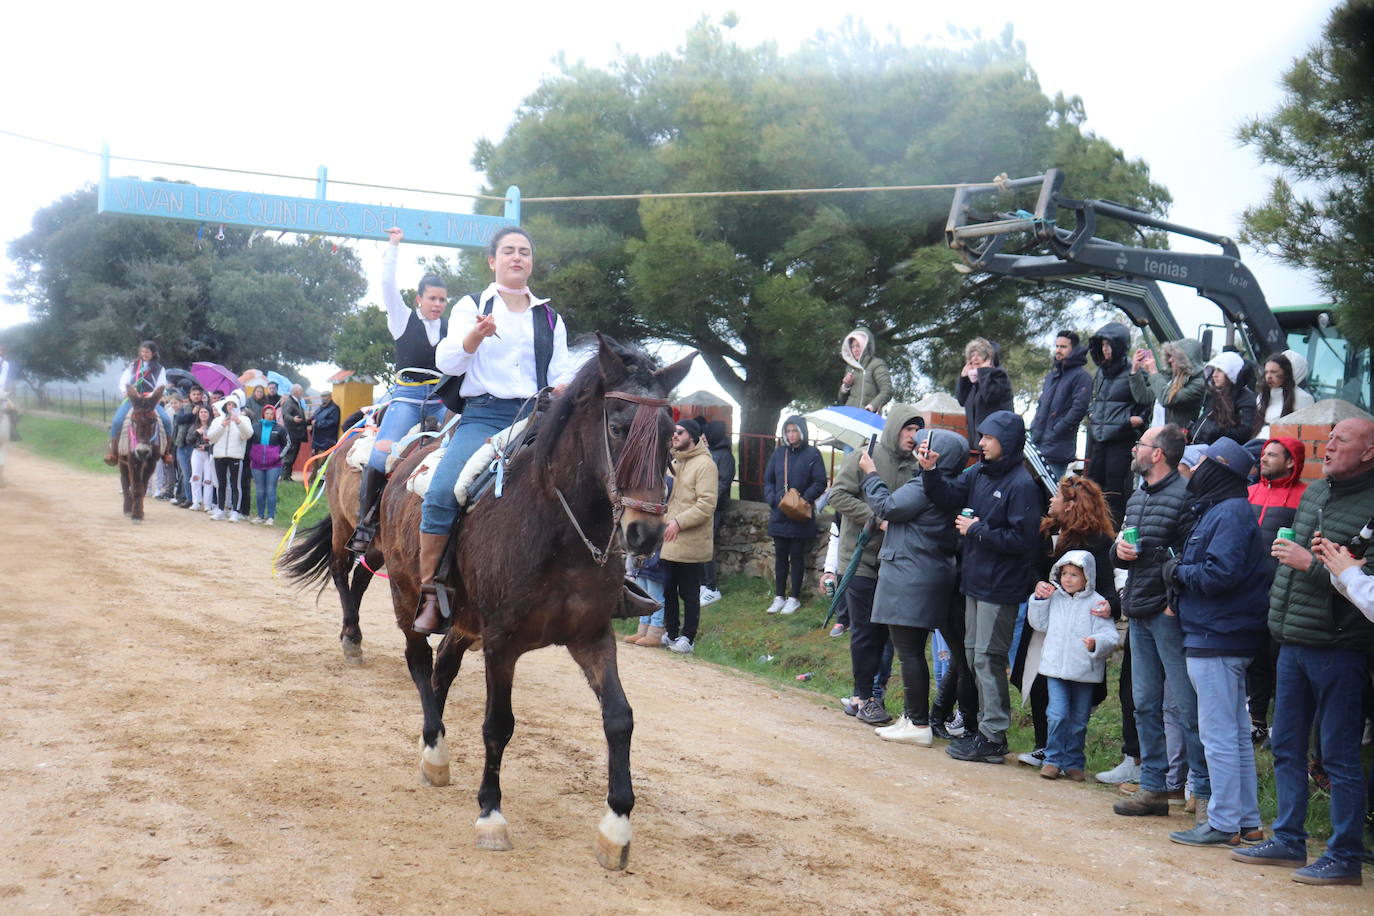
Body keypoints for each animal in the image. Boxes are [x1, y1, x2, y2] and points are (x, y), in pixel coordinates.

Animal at [118, 384, 166, 519]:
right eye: (134, 420)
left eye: (153, 420)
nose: (142, 451)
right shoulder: (132, 459)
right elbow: (135, 486)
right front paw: (135, 514)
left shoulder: (151, 462)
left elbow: (142, 487)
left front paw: (139, 511)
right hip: (122, 460)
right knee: (125, 480)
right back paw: (127, 507)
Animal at [285, 336, 692, 867]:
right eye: (619, 427)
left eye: (669, 435)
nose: (646, 533)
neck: (557, 530)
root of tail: (401, 466)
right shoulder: (502, 642)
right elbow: (499, 724)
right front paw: (491, 815)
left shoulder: (592, 637)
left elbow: (619, 719)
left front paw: (617, 826)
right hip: (399, 586)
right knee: (411, 653)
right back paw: (429, 743)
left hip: (461, 620)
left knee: (439, 666)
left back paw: (430, 739)